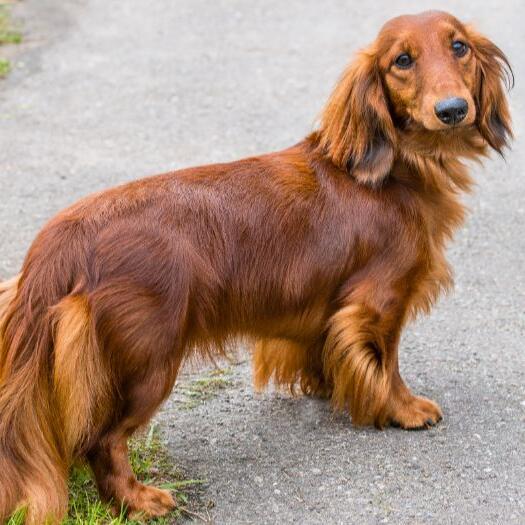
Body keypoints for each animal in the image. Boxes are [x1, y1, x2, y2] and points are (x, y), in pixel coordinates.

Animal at [0, 9, 512, 524]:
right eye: (402, 60)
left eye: (460, 47)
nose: (453, 109)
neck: (392, 173)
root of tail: (60, 241)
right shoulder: (379, 303)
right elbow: (386, 366)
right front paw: (403, 408)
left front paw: (330, 387)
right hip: (147, 362)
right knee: (102, 441)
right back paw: (140, 499)